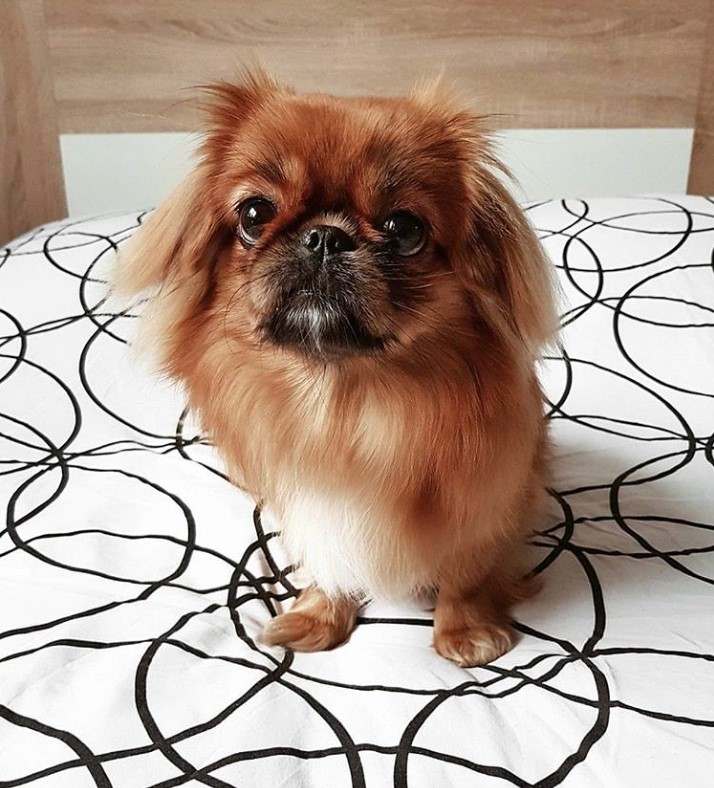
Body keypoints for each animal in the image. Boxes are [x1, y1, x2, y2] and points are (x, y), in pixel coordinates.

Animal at [115, 71, 556, 668]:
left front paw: (465, 633)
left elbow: (466, 574)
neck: (342, 407)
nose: (325, 236)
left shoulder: (488, 505)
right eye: (254, 214)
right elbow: (327, 561)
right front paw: (318, 617)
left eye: (404, 229)